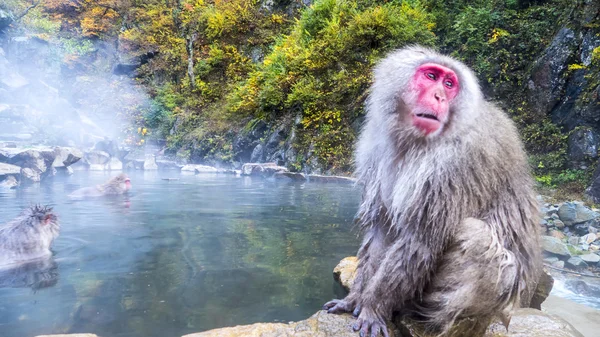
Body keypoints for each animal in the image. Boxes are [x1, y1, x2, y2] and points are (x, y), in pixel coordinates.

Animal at [324, 46, 544, 336]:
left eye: (449, 84)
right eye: (431, 76)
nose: (439, 96)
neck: (415, 141)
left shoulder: (456, 162)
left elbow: (422, 240)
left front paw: (373, 307)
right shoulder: (376, 150)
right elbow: (382, 229)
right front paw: (354, 299)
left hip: (499, 302)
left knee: (475, 236)